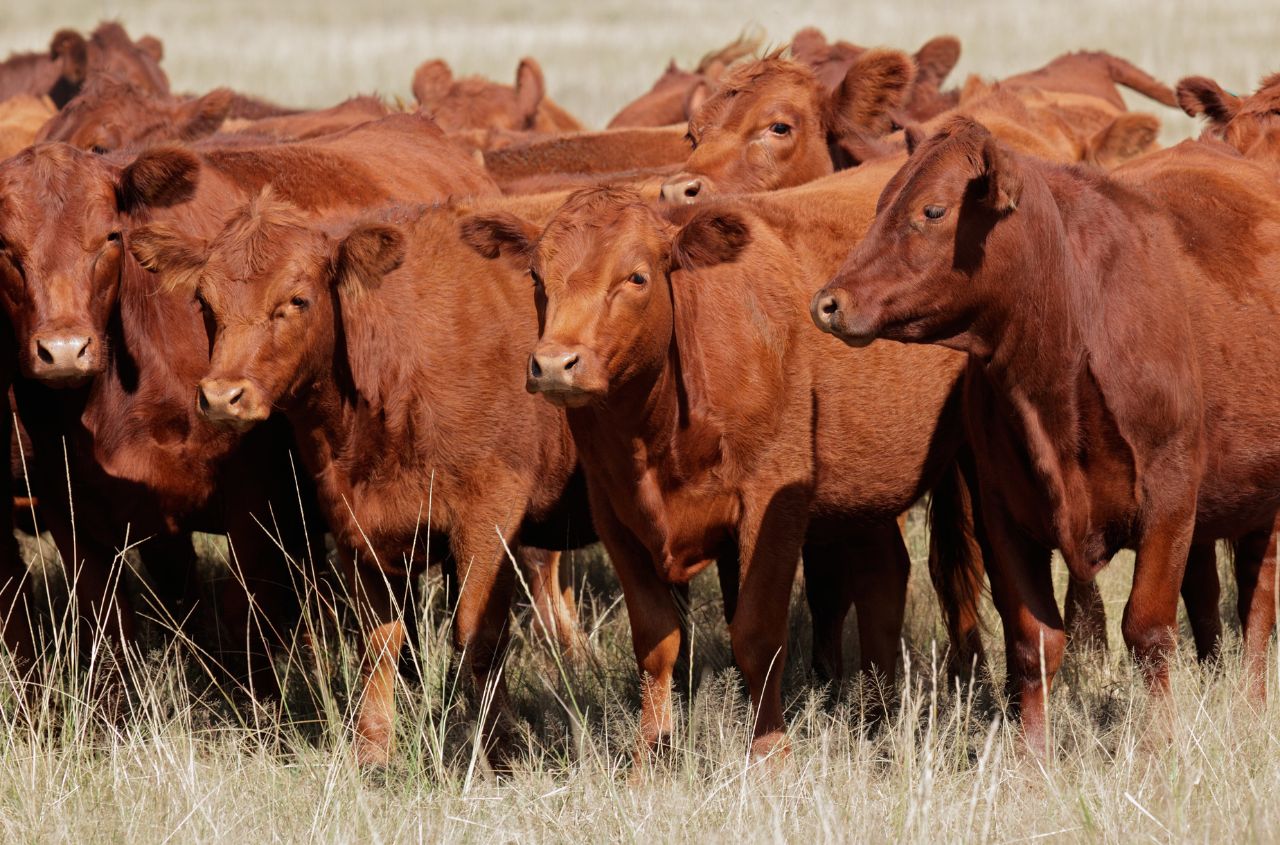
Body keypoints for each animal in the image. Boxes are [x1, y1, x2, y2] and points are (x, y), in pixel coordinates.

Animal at [127, 189, 596, 767]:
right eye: (203, 303)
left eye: (297, 300)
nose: (221, 396)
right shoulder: (358, 524)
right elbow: (378, 641)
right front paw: (372, 750)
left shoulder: (490, 515)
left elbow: (478, 635)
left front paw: (500, 751)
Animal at [461, 184, 985, 760]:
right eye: (536, 277)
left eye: (637, 277)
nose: (555, 364)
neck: (656, 432)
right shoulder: (616, 514)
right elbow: (656, 640)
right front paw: (650, 756)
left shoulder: (772, 499)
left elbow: (756, 634)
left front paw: (770, 756)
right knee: (883, 576)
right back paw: (878, 715)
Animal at [811, 120, 1280, 756]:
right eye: (880, 203)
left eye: (932, 210)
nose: (829, 302)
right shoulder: (1003, 514)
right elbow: (1033, 643)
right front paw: (1032, 757)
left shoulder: (1170, 498)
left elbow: (1148, 629)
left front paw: (1159, 744)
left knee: (1258, 601)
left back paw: (1253, 701)